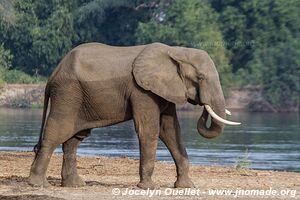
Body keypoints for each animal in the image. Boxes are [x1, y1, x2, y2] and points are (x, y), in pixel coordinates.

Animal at [27, 42, 239, 189]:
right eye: (200, 78)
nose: (202, 104)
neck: (175, 51)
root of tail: (53, 74)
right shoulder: (142, 91)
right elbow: (149, 130)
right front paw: (149, 188)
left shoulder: (162, 90)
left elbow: (171, 130)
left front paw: (186, 186)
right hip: (67, 93)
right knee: (56, 131)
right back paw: (38, 185)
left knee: (75, 138)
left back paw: (75, 185)